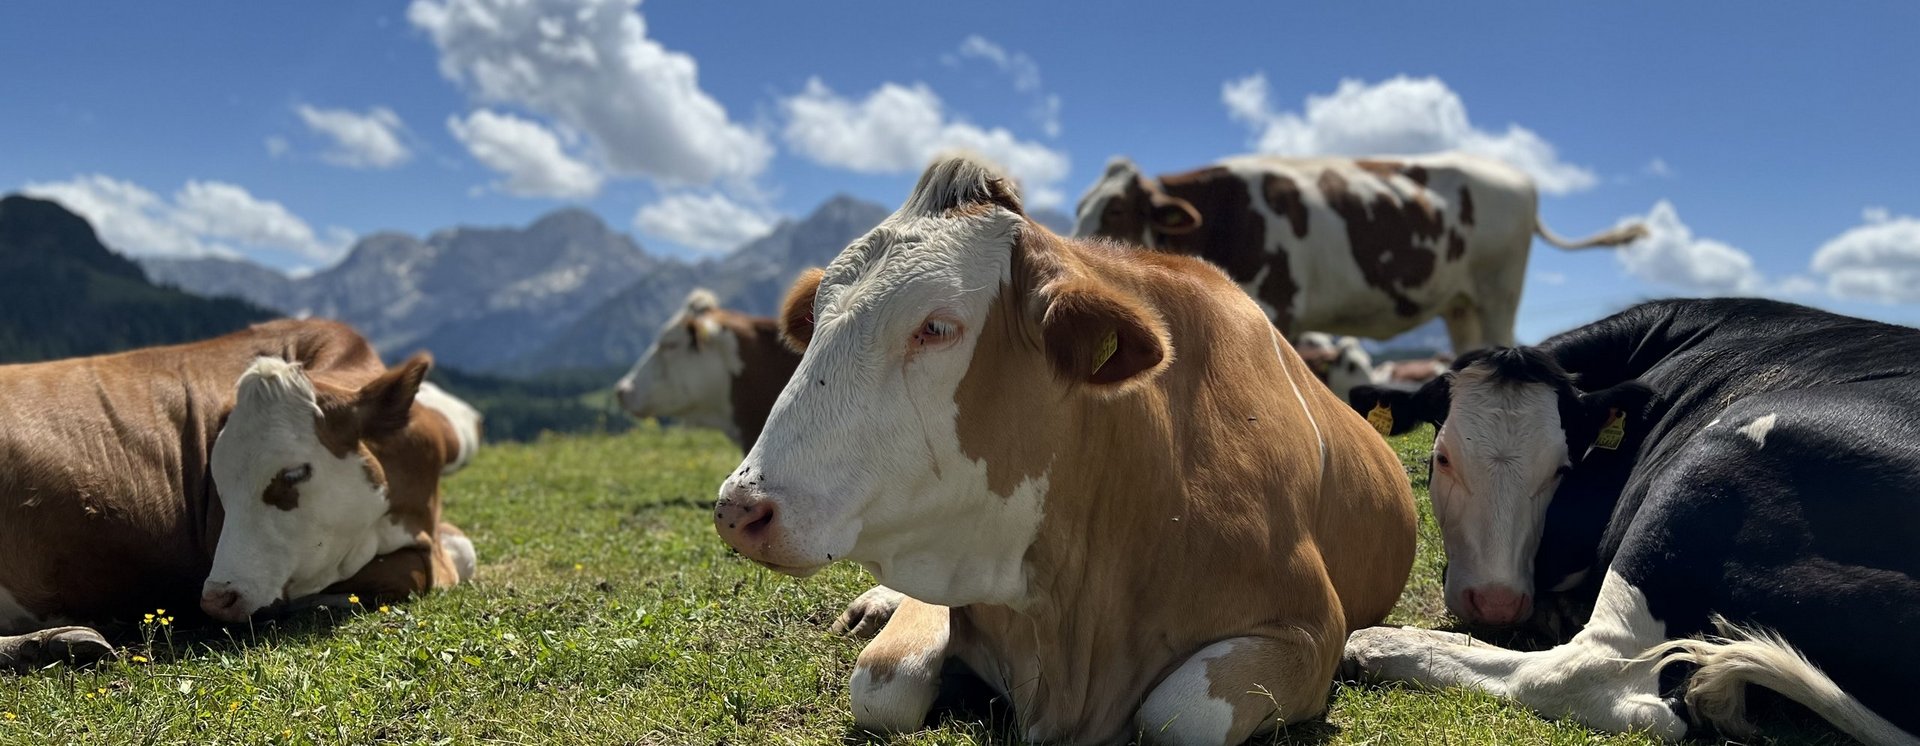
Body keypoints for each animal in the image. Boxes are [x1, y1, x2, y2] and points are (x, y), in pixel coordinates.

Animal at [714, 154, 1420, 740]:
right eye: (815, 322)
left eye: (936, 327)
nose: (740, 508)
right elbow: (882, 682)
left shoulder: (1309, 630)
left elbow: (1183, 712)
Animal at [1351, 297, 1920, 744]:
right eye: (1442, 457)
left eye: (1563, 467)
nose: (1496, 601)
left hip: (1707, 469)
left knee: (1596, 679)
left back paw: (1382, 644)